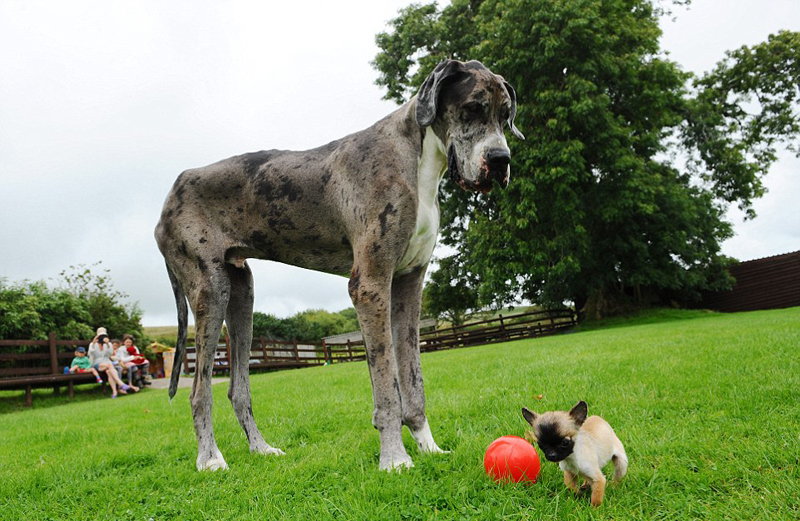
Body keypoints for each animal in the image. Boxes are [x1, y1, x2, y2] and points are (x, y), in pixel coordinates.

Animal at [155, 59, 524, 470]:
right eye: (473, 108)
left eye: (506, 115)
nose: (501, 160)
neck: (417, 160)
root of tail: (170, 193)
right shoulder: (370, 285)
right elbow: (387, 386)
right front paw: (395, 459)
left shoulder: (409, 285)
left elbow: (413, 380)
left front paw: (429, 447)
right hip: (210, 290)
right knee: (199, 389)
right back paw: (211, 460)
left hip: (242, 294)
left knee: (238, 389)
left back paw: (261, 449)